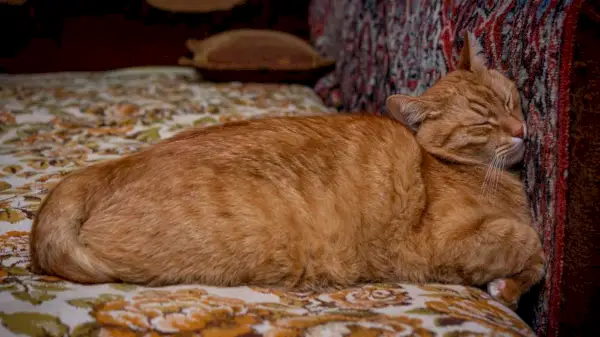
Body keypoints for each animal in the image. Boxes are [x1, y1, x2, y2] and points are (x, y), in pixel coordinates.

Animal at [29, 32, 544, 308]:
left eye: (508, 100)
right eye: (482, 122)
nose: (521, 130)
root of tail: (111, 166)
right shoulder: (445, 243)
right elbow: (530, 245)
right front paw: (509, 285)